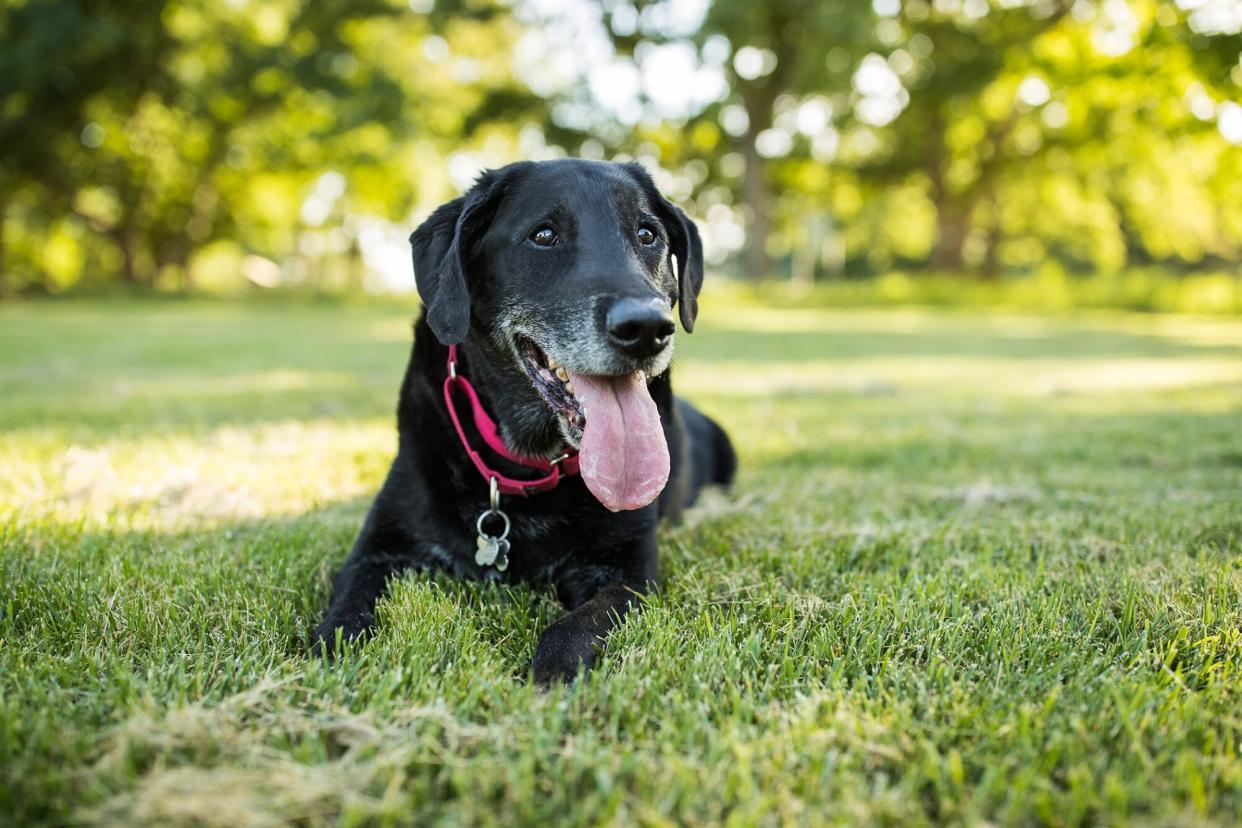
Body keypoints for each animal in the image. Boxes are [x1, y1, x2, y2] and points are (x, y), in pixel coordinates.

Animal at [315, 158, 730, 685]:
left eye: (647, 233)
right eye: (544, 235)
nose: (647, 329)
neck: (526, 466)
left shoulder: (631, 572)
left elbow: (576, 625)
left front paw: (551, 673)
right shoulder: (377, 547)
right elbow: (347, 608)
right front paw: (335, 649)